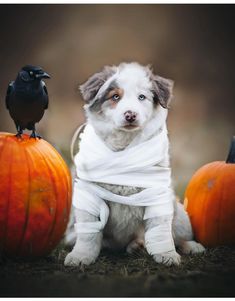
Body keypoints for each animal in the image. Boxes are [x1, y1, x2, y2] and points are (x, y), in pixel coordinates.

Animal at [63, 62, 204, 266]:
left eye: (142, 97)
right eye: (115, 96)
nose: (130, 115)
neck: (125, 147)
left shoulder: (157, 193)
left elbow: (160, 228)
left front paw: (167, 254)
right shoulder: (89, 194)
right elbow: (89, 235)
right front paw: (81, 256)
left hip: (180, 216)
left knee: (176, 235)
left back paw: (189, 246)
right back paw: (135, 246)